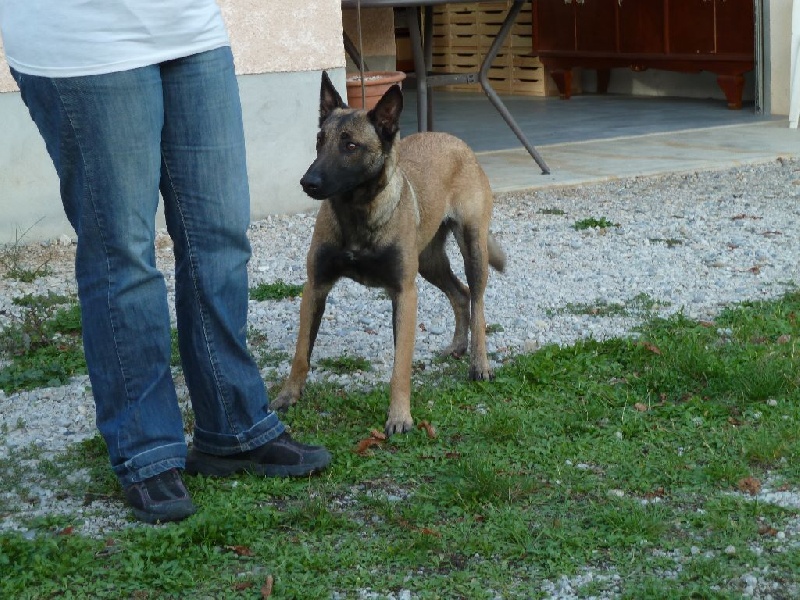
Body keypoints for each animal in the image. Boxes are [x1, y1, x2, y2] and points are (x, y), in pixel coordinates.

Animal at [270, 71, 506, 436]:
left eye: (350, 145)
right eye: (320, 140)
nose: (308, 182)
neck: (356, 214)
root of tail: (455, 141)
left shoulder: (404, 293)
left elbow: (400, 366)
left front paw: (399, 416)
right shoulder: (315, 288)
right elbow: (300, 354)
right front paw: (288, 396)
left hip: (473, 249)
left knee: (477, 301)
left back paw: (479, 363)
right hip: (429, 262)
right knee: (461, 294)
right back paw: (457, 345)